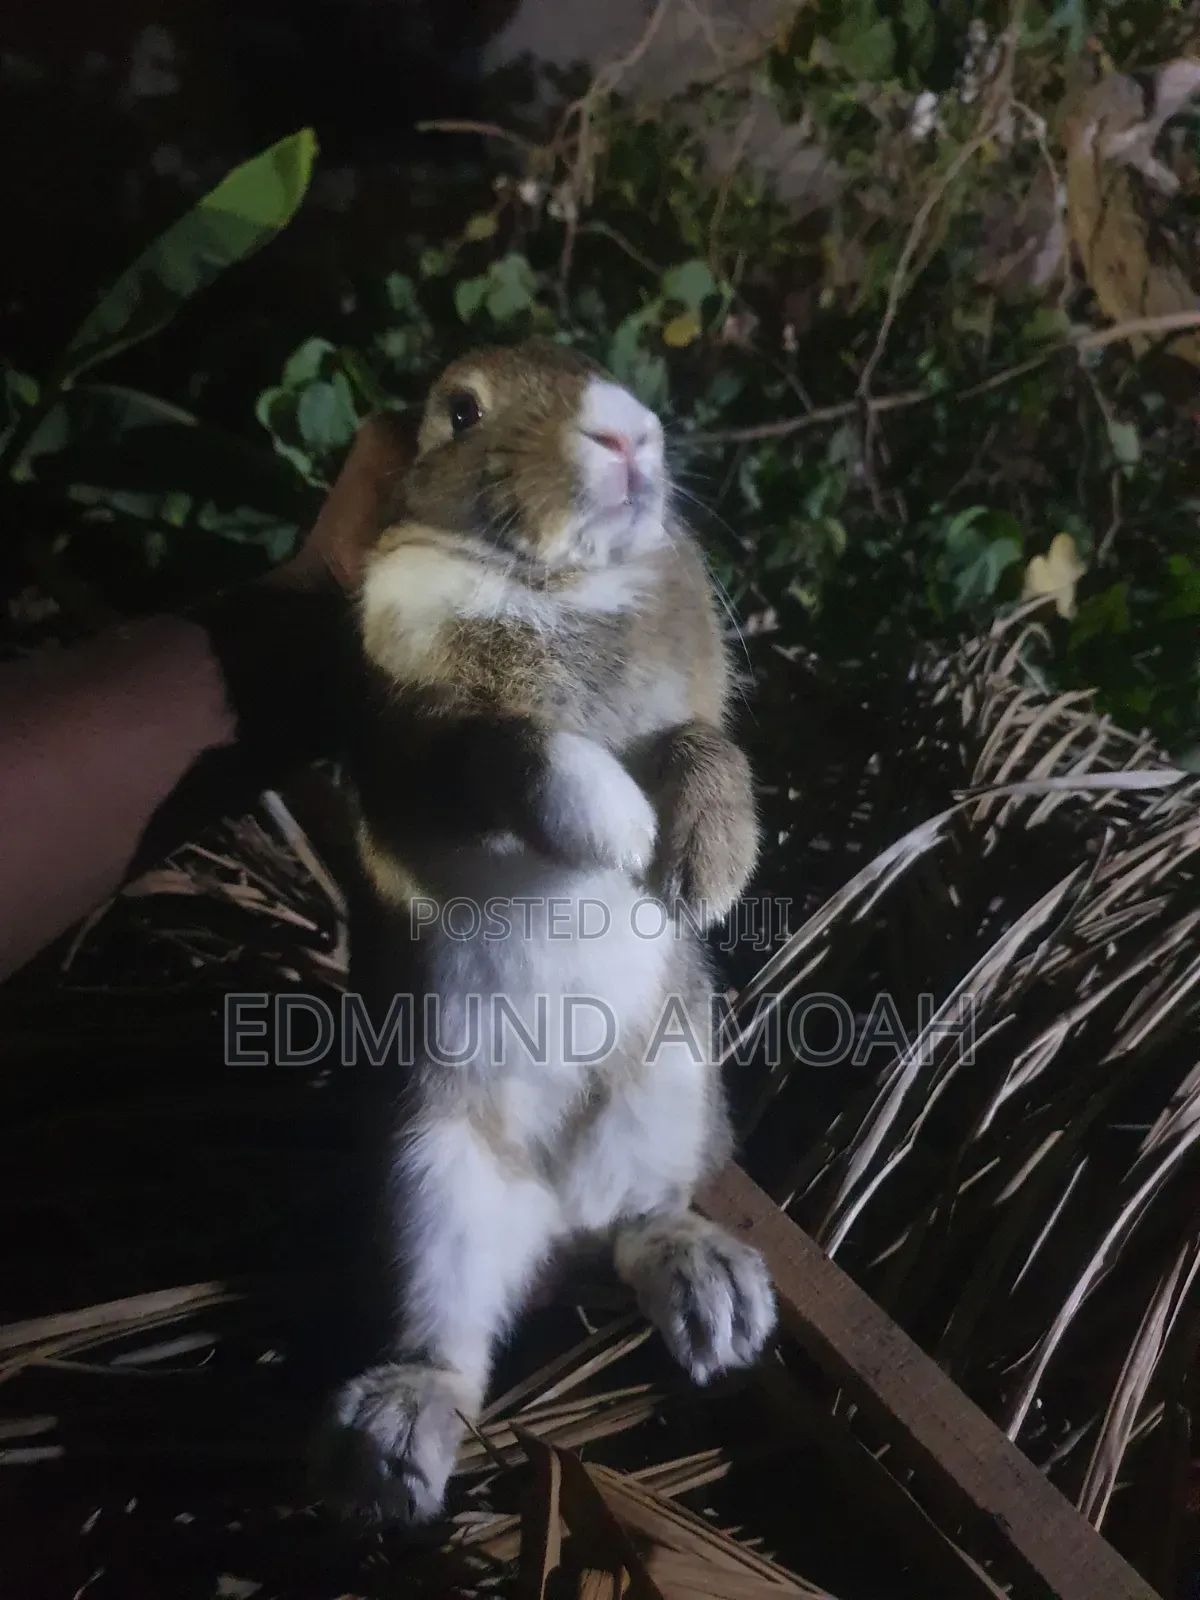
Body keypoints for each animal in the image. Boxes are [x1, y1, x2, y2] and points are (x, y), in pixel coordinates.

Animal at [308, 337, 775, 1527]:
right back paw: (394, 1447)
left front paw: (704, 872)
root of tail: (557, 1211)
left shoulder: (690, 716)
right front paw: (619, 829)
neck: (557, 585)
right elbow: (511, 747)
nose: (629, 432)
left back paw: (716, 1303)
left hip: (671, 1087)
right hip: (433, 1177)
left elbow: (708, 746)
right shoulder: (418, 758)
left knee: (640, 1225)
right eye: (459, 412)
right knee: (453, 1340)